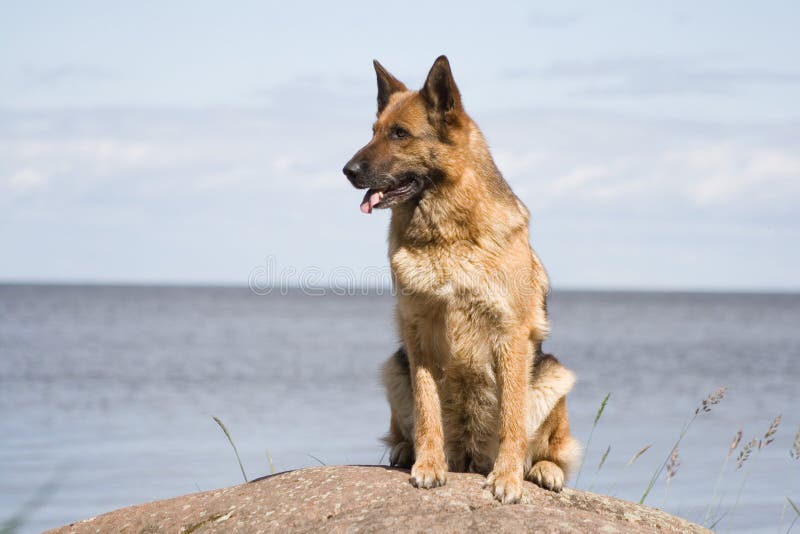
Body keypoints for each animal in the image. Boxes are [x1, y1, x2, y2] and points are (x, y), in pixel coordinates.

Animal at [340, 56, 580, 504]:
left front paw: (507, 478)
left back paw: (541, 470)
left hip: (554, 375)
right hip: (394, 367)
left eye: (400, 134)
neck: (447, 237)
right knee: (406, 425)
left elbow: (511, 419)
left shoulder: (510, 334)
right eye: (374, 131)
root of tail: (469, 457)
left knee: (551, 447)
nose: (347, 171)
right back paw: (406, 451)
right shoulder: (417, 332)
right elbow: (427, 409)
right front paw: (429, 465)